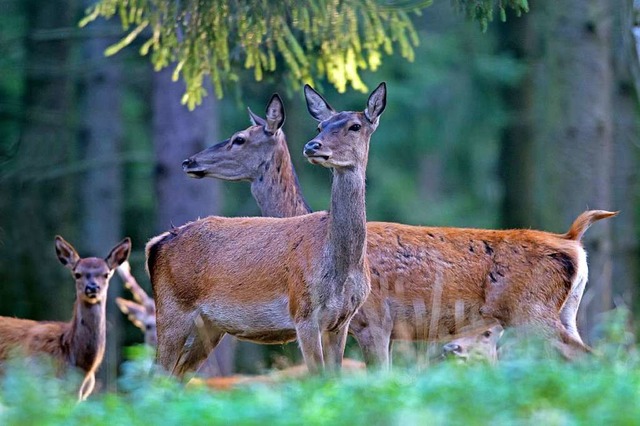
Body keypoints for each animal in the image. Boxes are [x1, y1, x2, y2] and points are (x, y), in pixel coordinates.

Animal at [148, 81, 388, 374]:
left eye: (355, 126)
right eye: (320, 126)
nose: (312, 146)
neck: (341, 266)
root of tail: (156, 243)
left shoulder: (341, 322)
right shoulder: (303, 313)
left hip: (208, 326)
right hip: (171, 312)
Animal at [181, 93, 616, 366]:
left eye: (238, 139)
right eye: (321, 124)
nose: (190, 161)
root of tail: (573, 241)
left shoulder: (375, 321)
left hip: (531, 313)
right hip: (564, 313)